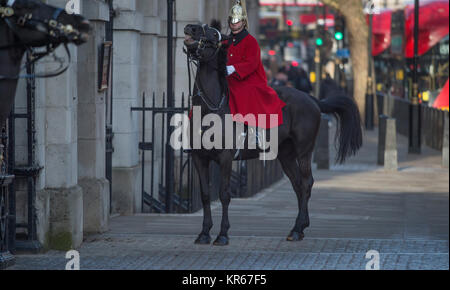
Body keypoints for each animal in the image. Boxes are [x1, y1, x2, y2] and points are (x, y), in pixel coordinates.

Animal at [183, 23, 362, 246]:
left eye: (214, 34)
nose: (190, 27)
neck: (211, 108)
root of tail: (312, 99)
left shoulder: (225, 158)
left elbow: (224, 194)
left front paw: (223, 234)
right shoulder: (199, 157)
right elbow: (206, 194)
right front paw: (204, 233)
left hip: (304, 151)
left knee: (306, 183)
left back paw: (297, 229)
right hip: (286, 154)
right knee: (297, 185)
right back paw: (298, 228)